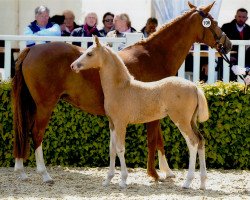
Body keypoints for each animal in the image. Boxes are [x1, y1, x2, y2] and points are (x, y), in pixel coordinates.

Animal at [71, 37, 209, 189]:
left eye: (89, 54)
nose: (73, 66)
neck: (120, 88)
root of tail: (194, 87)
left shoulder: (121, 123)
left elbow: (120, 149)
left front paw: (123, 180)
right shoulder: (112, 124)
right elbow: (112, 149)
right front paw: (107, 180)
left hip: (181, 121)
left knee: (193, 143)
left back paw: (187, 182)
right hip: (191, 121)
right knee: (201, 140)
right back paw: (202, 183)